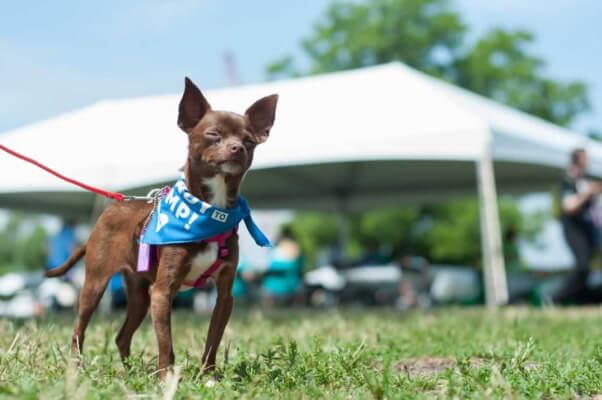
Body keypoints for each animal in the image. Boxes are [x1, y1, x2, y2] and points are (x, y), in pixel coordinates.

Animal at [45, 78, 278, 382]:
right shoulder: (162, 292)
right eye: (214, 134)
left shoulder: (224, 296)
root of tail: (110, 210)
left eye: (249, 140)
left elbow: (212, 340)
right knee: (79, 330)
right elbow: (166, 342)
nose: (237, 148)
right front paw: (167, 378)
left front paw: (208, 377)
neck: (208, 210)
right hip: (95, 286)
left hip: (139, 295)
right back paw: (77, 368)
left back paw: (130, 372)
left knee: (121, 337)